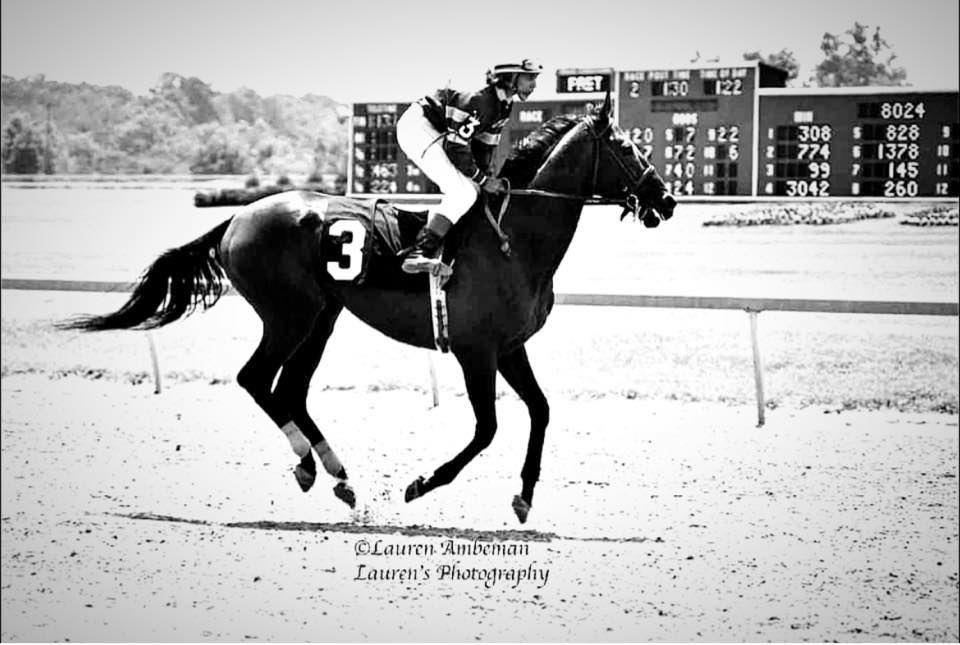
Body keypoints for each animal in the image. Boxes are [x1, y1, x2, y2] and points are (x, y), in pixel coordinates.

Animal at [61, 91, 676, 523]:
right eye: (628, 148)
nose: (666, 200)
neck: (514, 240)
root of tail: (238, 216)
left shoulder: (509, 348)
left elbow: (542, 411)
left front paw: (523, 497)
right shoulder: (476, 350)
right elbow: (487, 429)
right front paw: (421, 484)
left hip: (321, 318)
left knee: (290, 389)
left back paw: (336, 474)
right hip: (289, 315)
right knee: (256, 379)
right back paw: (311, 465)